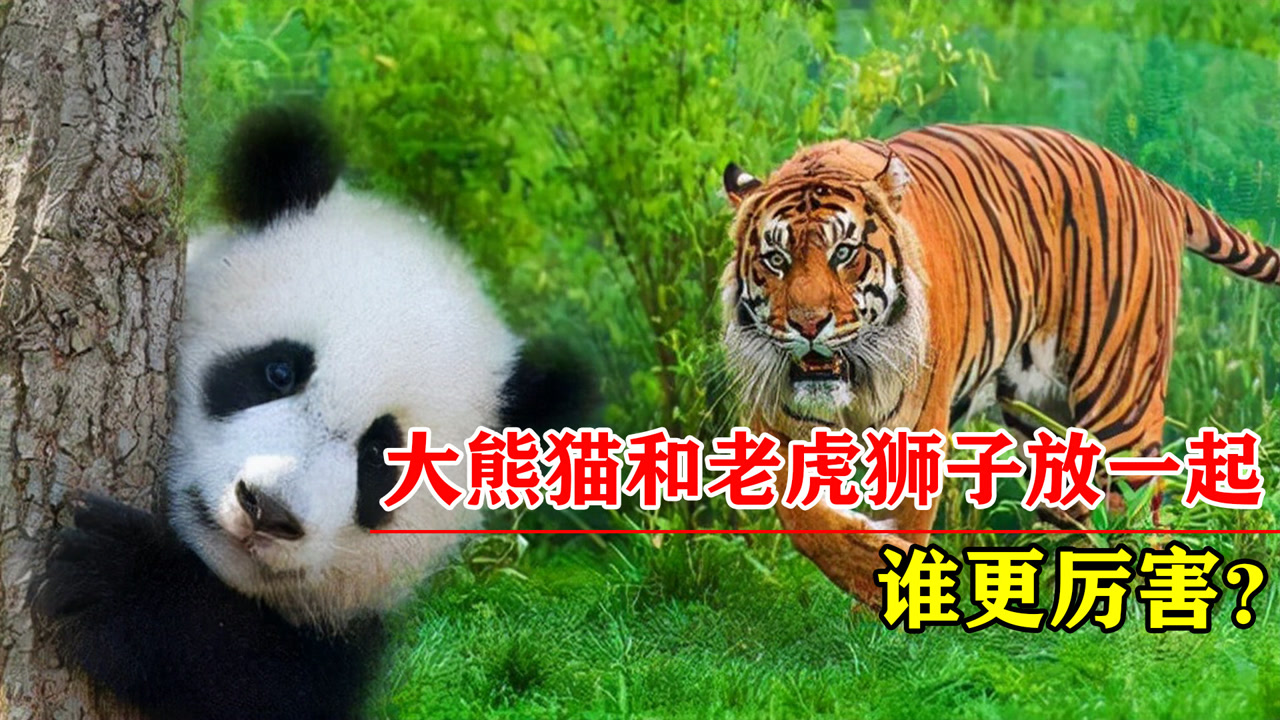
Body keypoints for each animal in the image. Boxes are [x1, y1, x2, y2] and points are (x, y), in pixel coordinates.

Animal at [719, 123, 1280, 606]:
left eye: (844, 252)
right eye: (775, 259)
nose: (808, 324)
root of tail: (1146, 179)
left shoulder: (915, 430)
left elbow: (902, 525)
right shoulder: (778, 425)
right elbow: (803, 520)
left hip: (1123, 400)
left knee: (1138, 514)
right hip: (1044, 417)